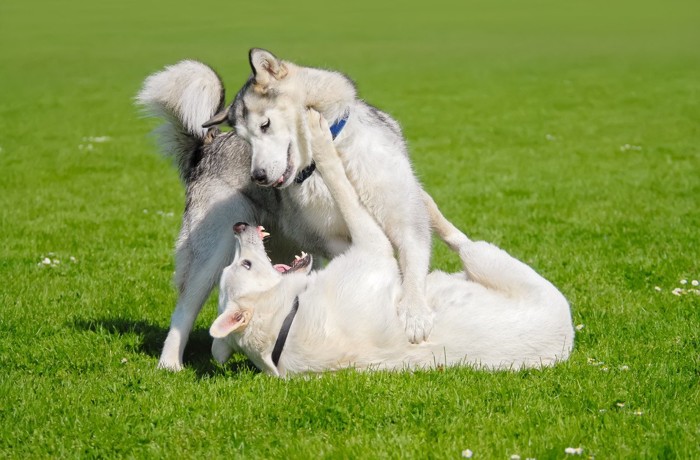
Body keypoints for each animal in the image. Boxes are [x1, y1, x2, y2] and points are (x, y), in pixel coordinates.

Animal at [209, 111, 576, 378]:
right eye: (245, 264)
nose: (238, 226)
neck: (284, 319)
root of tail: (568, 340)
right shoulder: (372, 249)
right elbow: (341, 184)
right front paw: (319, 136)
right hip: (490, 260)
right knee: (462, 242)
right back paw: (428, 207)